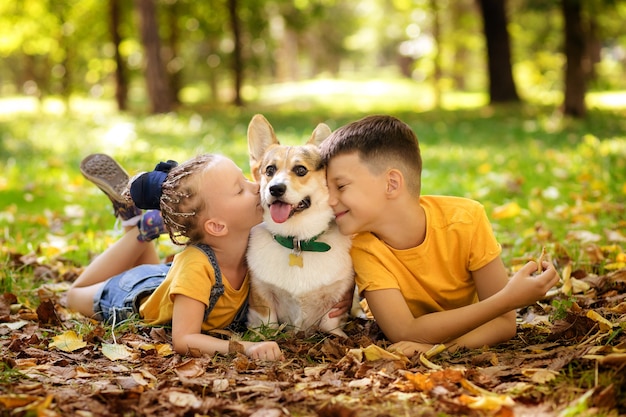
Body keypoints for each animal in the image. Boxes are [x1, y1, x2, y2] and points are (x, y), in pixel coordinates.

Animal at [245, 114, 354, 338]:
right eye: (270, 170)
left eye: (301, 169)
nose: (275, 189)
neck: (297, 240)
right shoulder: (261, 292)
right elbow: (268, 321)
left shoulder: (341, 292)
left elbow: (330, 322)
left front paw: (338, 337)